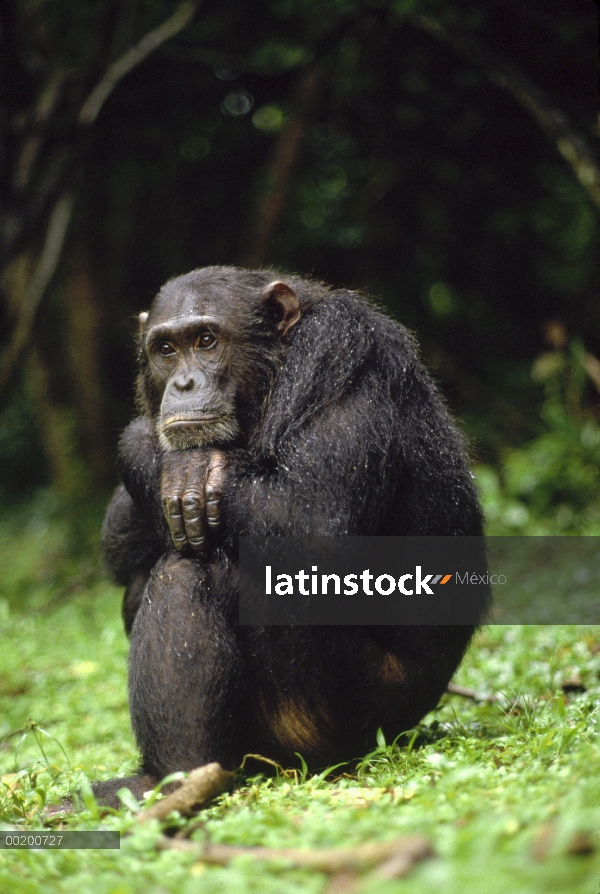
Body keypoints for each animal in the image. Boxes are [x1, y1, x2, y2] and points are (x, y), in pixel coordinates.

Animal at [96, 266, 486, 812]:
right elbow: (118, 541)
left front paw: (182, 464)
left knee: (199, 571)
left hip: (332, 714)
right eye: (166, 349)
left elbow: (314, 525)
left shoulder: (341, 359)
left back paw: (170, 780)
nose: (183, 382)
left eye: (207, 340)